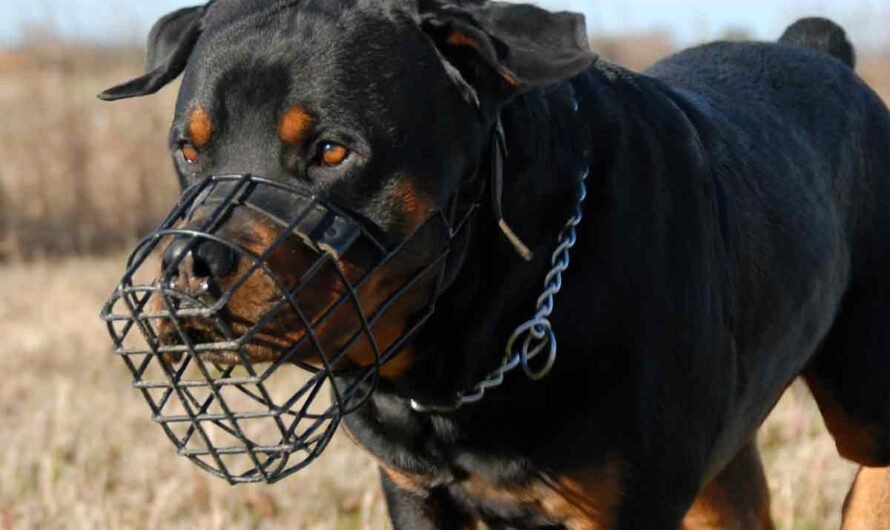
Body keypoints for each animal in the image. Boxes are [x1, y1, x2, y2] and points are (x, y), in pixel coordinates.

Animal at [100, 1, 888, 524]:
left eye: (330, 150)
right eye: (188, 148)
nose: (188, 267)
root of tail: (819, 50)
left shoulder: (630, 506)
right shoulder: (413, 493)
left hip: (864, 405)